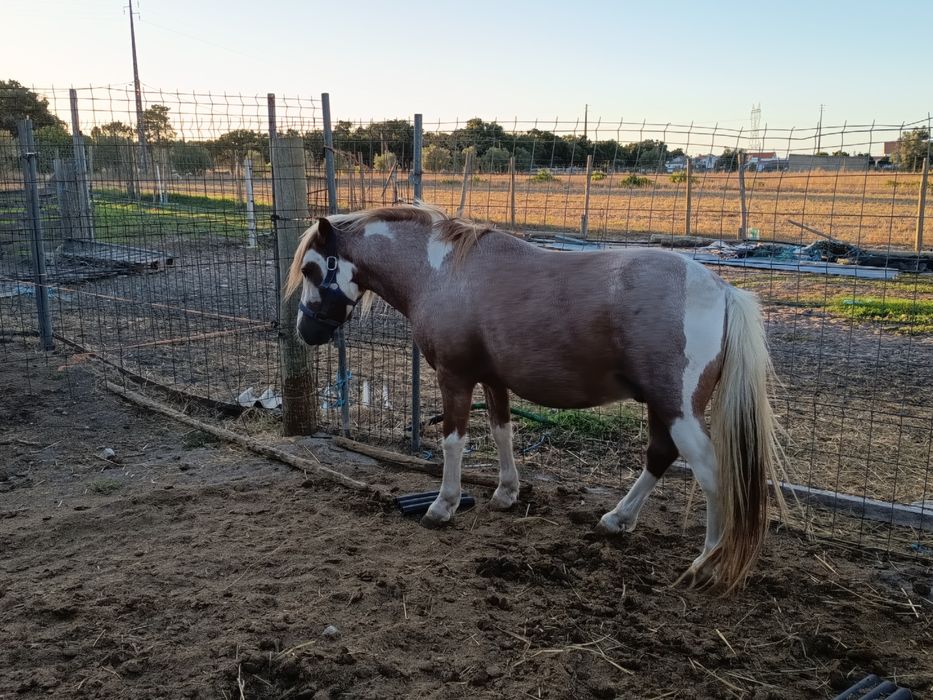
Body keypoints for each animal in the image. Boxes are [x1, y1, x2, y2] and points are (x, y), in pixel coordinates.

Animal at [284, 202, 787, 593]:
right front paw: (506, 493)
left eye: (312, 268)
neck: (442, 272)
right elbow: (502, 432)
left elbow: (453, 442)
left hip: (678, 409)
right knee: (659, 456)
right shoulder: (493, 380)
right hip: (663, 408)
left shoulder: (455, 378)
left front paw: (443, 505)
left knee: (710, 474)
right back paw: (618, 520)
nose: (306, 332)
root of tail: (723, 290)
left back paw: (707, 563)